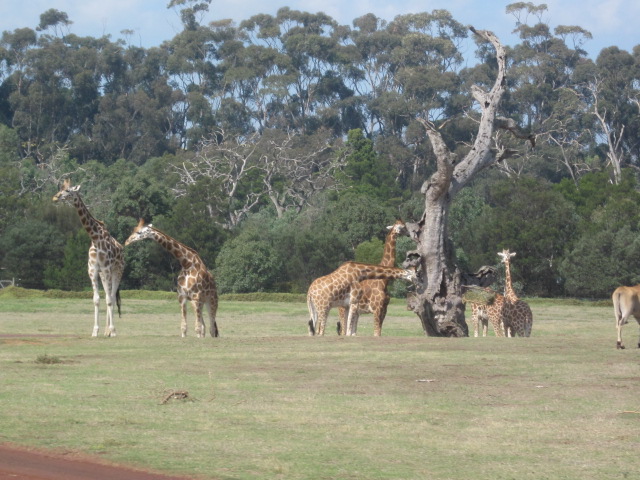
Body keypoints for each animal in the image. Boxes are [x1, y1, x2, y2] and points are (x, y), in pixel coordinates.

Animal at [52, 179, 124, 338]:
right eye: (60, 189)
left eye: (68, 191)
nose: (55, 197)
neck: (95, 238)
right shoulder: (93, 270)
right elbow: (96, 299)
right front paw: (95, 331)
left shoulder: (106, 269)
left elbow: (109, 299)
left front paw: (113, 331)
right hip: (103, 275)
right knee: (108, 296)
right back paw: (106, 330)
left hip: (117, 271)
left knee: (112, 297)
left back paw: (111, 330)